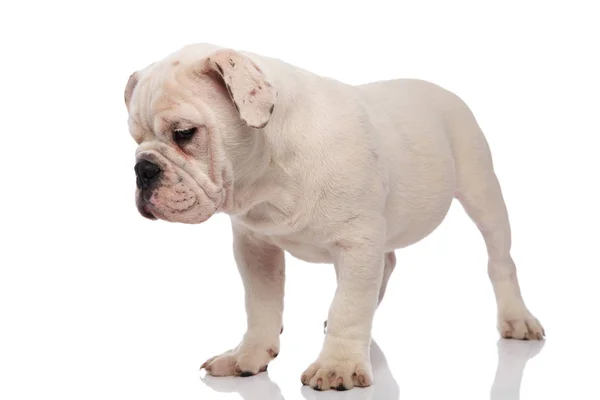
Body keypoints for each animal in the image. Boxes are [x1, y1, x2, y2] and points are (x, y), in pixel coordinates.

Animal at [124, 43, 548, 390]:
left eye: (184, 133)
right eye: (134, 138)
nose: (142, 169)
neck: (270, 177)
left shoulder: (357, 243)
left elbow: (347, 305)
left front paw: (338, 367)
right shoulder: (255, 246)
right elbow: (260, 304)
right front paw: (248, 356)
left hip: (482, 190)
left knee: (500, 259)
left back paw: (517, 319)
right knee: (387, 263)